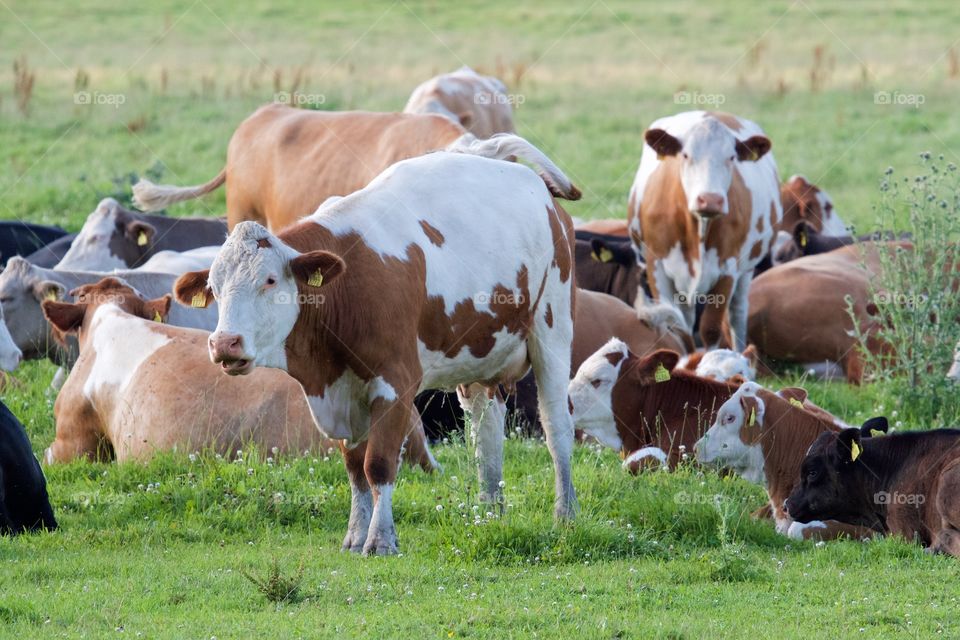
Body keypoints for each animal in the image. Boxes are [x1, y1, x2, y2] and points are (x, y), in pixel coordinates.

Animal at [173, 133, 582, 555]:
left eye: (269, 281)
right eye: (214, 287)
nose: (225, 343)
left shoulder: (395, 383)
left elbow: (379, 463)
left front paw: (381, 538)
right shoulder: (342, 391)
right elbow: (355, 468)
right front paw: (355, 535)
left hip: (552, 329)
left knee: (557, 425)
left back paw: (565, 513)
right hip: (480, 356)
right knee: (486, 430)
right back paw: (489, 510)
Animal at [627, 110, 781, 350]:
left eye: (732, 157)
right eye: (685, 155)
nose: (710, 199)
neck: (698, 229)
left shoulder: (728, 268)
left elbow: (711, 328)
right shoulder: (656, 265)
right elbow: (677, 327)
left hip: (747, 269)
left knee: (737, 313)